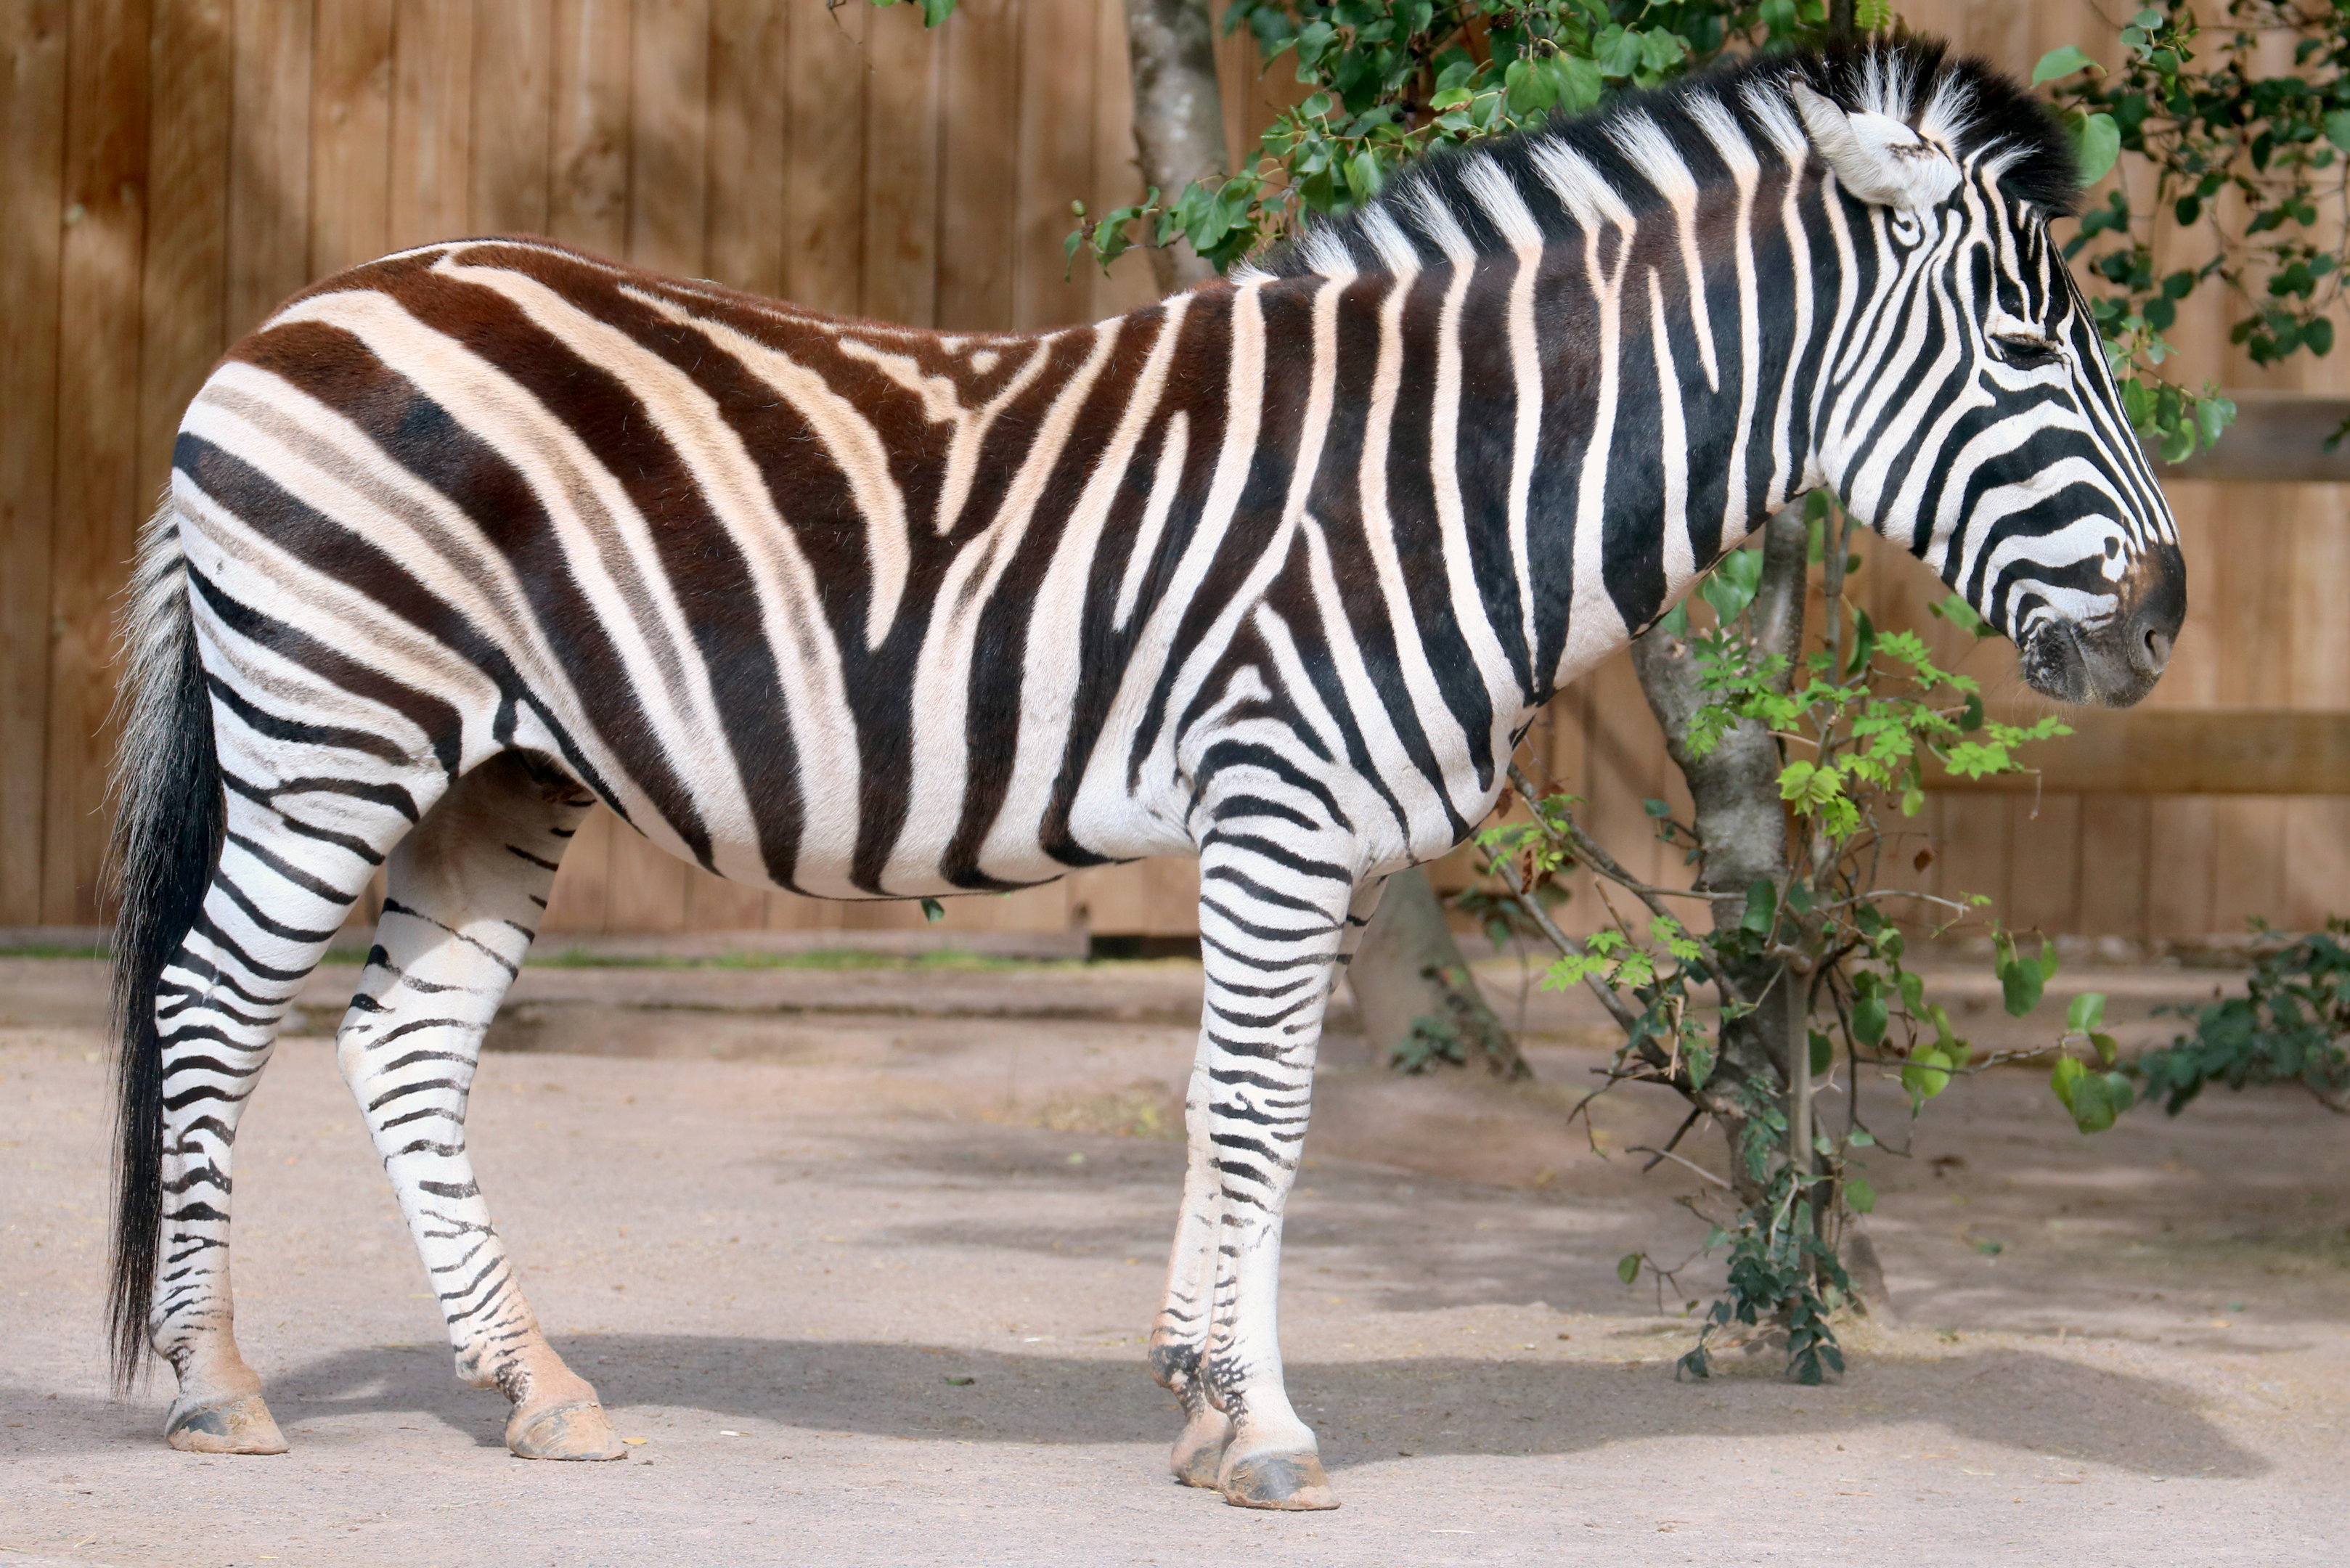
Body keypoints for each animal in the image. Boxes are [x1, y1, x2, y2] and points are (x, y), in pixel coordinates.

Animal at [107, 38, 2181, 1510]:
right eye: (2024, 343)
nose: (2162, 619)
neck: (1444, 469)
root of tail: (285, 319)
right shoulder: (1280, 808)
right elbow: (1258, 1121)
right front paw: (1261, 1431)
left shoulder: (1313, 841)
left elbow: (1221, 1112)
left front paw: (1193, 1394)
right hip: (335, 737)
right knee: (208, 1005)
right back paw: (214, 1387)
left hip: (496, 771)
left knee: (403, 1046)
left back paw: (532, 1387)